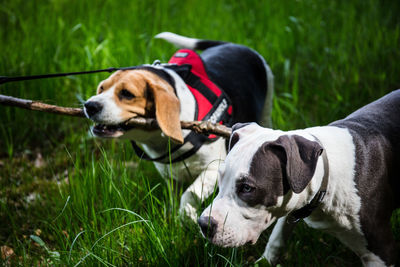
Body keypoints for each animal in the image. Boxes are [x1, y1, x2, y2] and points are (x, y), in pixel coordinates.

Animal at [83, 32, 274, 221]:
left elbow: (189, 194)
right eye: (101, 89)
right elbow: (174, 197)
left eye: (127, 94)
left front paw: (187, 216)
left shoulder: (214, 167)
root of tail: (234, 45)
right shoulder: (170, 176)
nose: (89, 105)